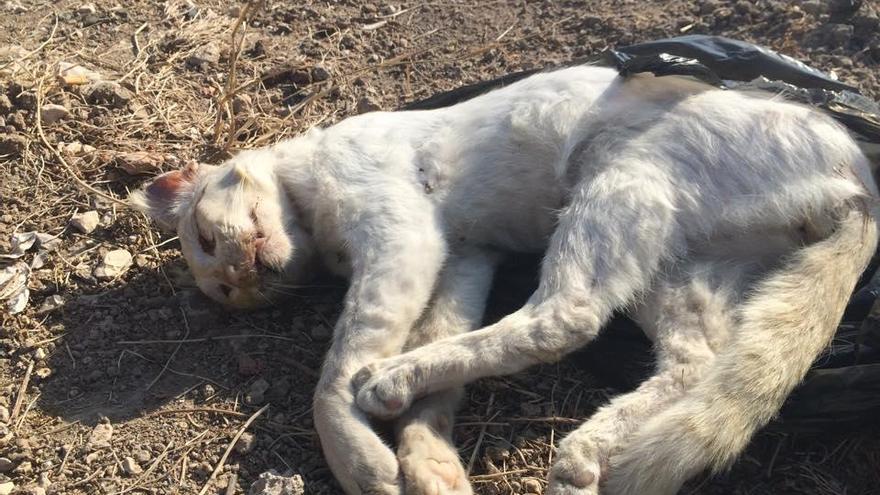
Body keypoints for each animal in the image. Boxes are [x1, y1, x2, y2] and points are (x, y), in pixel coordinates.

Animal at [127, 67, 876, 495]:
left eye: (206, 239)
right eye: (227, 295)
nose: (245, 279)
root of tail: (859, 180)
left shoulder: (403, 238)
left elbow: (333, 372)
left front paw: (363, 462)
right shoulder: (463, 258)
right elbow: (439, 367)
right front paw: (430, 466)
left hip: (621, 179)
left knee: (566, 316)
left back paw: (396, 379)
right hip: (674, 267)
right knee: (695, 364)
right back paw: (587, 457)